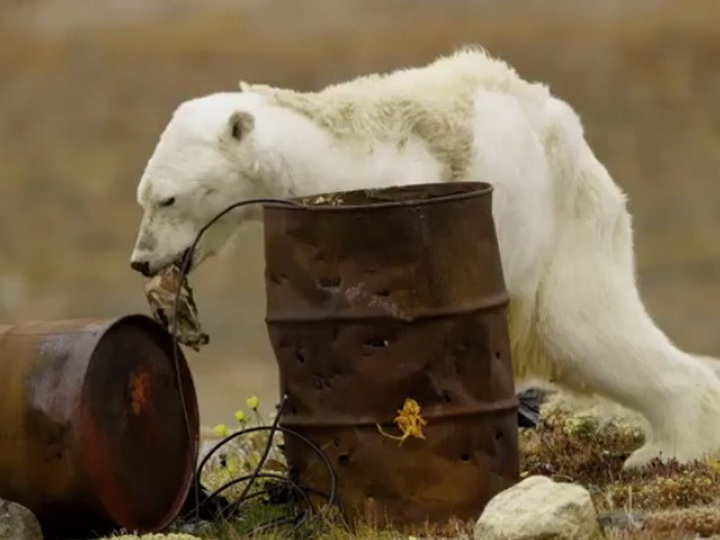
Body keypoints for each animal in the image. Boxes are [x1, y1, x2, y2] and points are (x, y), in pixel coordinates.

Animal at [128, 47, 720, 468]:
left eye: (168, 199)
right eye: (143, 197)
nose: (141, 260)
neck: (324, 155)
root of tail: (570, 135)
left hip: (559, 228)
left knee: (586, 330)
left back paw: (667, 449)